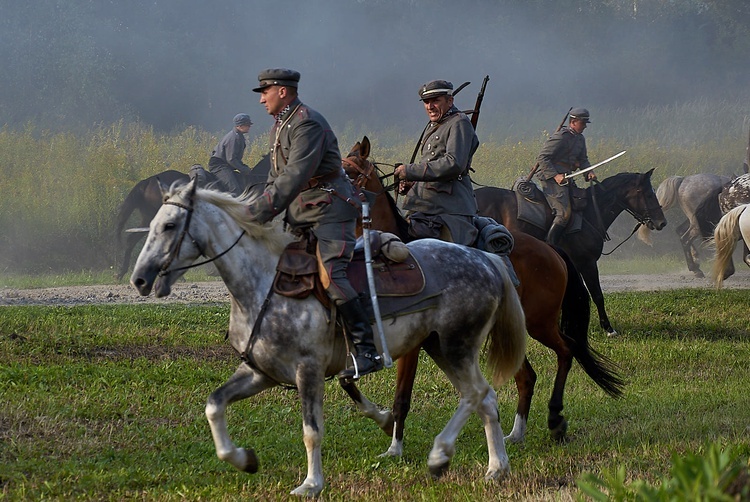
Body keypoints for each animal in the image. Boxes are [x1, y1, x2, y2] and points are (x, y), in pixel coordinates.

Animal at [131, 178, 528, 496]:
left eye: (169, 225)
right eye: (152, 225)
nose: (140, 279)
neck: (262, 285)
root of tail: (485, 258)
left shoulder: (308, 372)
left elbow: (312, 430)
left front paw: (311, 484)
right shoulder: (260, 373)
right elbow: (214, 405)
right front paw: (244, 459)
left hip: (456, 345)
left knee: (475, 394)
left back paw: (440, 455)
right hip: (439, 347)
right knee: (485, 399)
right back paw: (497, 468)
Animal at [340, 138, 624, 452]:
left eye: (349, 172)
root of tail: (550, 249)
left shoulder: (412, 345)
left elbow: (402, 396)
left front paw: (394, 447)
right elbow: (347, 379)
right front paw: (384, 424)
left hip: (540, 323)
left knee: (567, 350)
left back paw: (554, 419)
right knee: (527, 376)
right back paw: (516, 433)